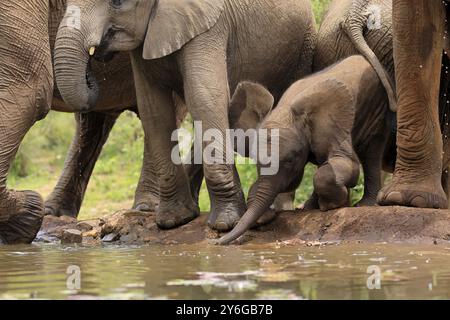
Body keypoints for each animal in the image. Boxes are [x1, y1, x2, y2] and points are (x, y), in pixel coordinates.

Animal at [0, 0, 161, 244]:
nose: (92, 58)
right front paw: (26, 218)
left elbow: (26, 87)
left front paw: (23, 220)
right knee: (92, 121)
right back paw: (53, 213)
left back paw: (146, 208)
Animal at [53, 0, 316, 230]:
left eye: (117, 1)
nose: (94, 59)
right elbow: (153, 109)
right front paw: (174, 221)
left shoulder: (208, 30)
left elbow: (204, 98)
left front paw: (225, 224)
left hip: (303, 50)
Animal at [218, 55, 394, 245]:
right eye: (256, 163)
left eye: (289, 161)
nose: (217, 241)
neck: (286, 110)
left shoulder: (334, 128)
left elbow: (345, 164)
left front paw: (333, 206)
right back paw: (310, 207)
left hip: (376, 106)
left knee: (371, 151)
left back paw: (363, 204)